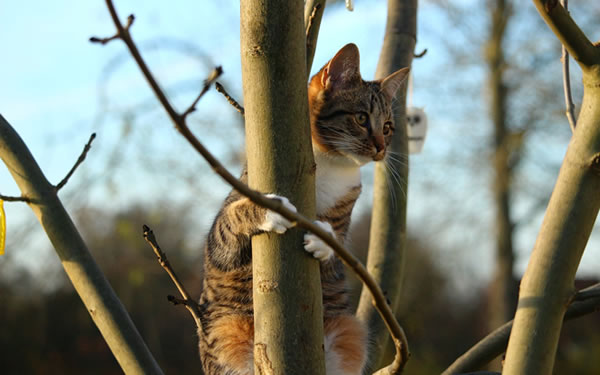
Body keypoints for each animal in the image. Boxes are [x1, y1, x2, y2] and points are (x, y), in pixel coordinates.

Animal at [197, 43, 408, 375]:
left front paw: (322, 237)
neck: (331, 165)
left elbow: (337, 242)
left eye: (387, 127)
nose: (381, 148)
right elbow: (230, 221)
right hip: (226, 331)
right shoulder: (221, 242)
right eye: (362, 118)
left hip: (349, 332)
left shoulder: (345, 217)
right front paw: (272, 211)